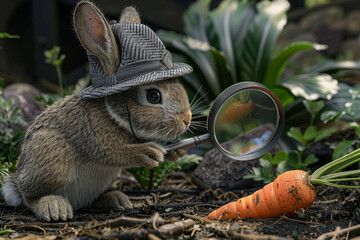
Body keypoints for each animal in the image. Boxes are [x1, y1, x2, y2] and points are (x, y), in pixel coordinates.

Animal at [1, 0, 193, 221]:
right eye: (154, 96)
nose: (186, 119)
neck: (113, 115)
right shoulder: (96, 138)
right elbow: (114, 152)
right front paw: (148, 152)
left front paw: (177, 150)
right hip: (50, 161)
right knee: (29, 197)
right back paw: (53, 206)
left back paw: (115, 199)